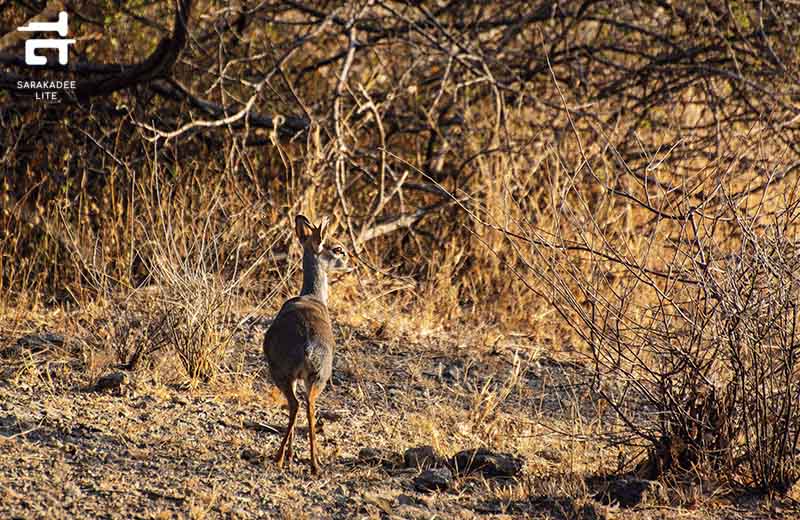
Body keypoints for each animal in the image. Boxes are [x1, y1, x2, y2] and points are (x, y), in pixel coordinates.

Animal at [264, 213, 348, 474]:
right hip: (312, 378)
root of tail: (308, 347)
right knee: (306, 406)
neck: (312, 295)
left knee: (297, 405)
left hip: (286, 374)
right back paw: (312, 462)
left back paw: (283, 457)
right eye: (337, 248)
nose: (349, 259)